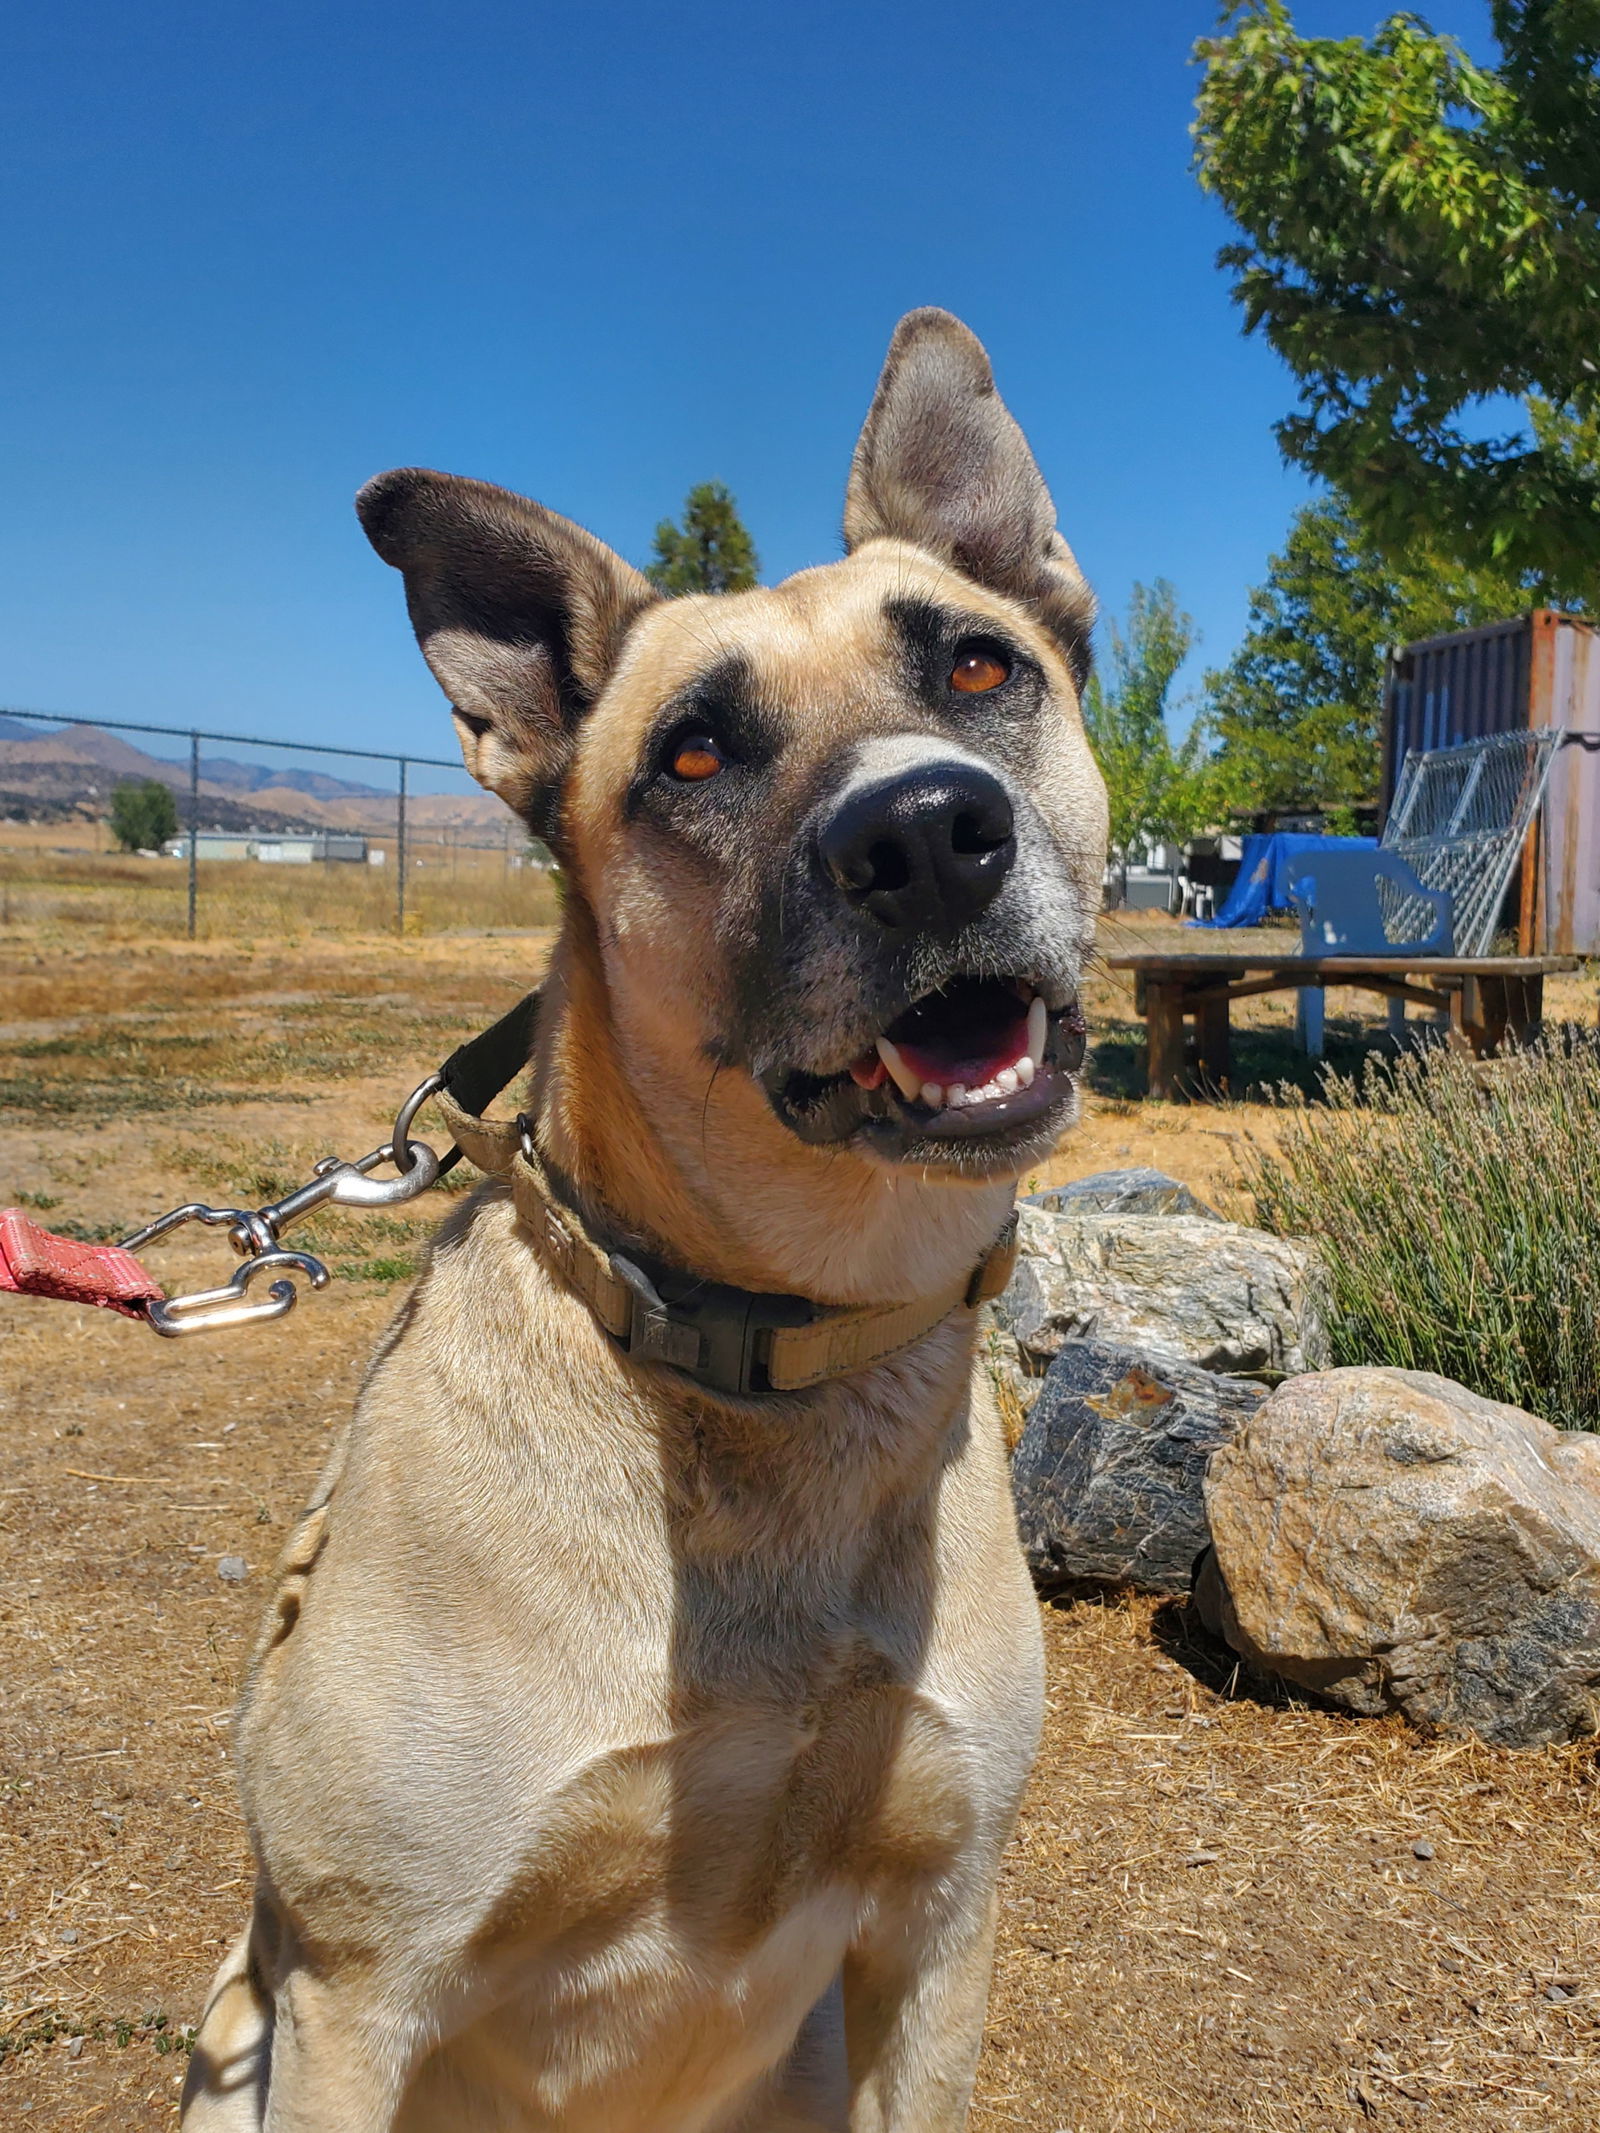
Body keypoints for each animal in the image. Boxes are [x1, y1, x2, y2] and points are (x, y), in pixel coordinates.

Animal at [178, 305, 1100, 2133]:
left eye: (978, 668)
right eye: (693, 754)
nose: (928, 833)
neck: (772, 1354)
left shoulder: (936, 1926)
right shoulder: (350, 1989)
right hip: (234, 2032)